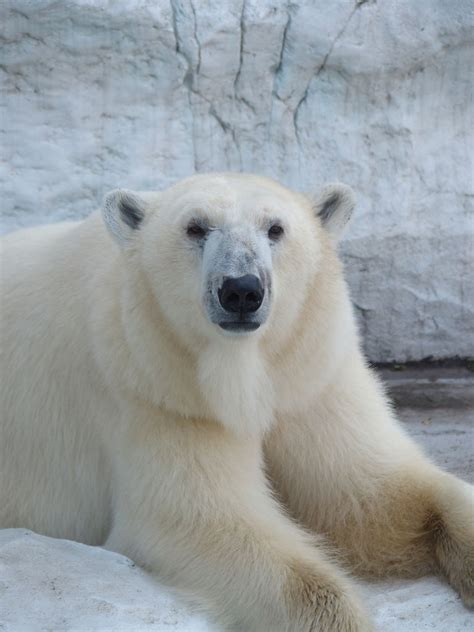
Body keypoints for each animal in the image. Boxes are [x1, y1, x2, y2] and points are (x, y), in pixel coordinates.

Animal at [0, 173, 472, 632]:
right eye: (195, 227)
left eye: (275, 228)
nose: (241, 290)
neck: (243, 373)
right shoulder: (157, 393)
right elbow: (202, 522)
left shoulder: (310, 380)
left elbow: (371, 493)